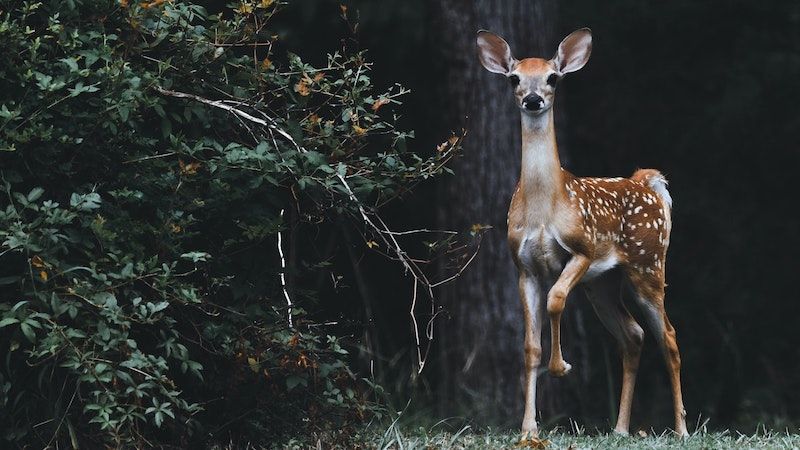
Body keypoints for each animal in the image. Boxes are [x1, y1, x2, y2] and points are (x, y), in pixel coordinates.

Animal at [476, 29, 688, 438]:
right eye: (514, 78)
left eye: (553, 77)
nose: (533, 99)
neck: (545, 207)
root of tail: (647, 183)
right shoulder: (523, 266)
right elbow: (529, 346)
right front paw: (528, 428)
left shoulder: (582, 249)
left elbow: (556, 299)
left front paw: (561, 367)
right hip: (603, 283)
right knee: (633, 335)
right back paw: (620, 429)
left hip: (648, 264)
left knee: (668, 336)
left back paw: (682, 429)